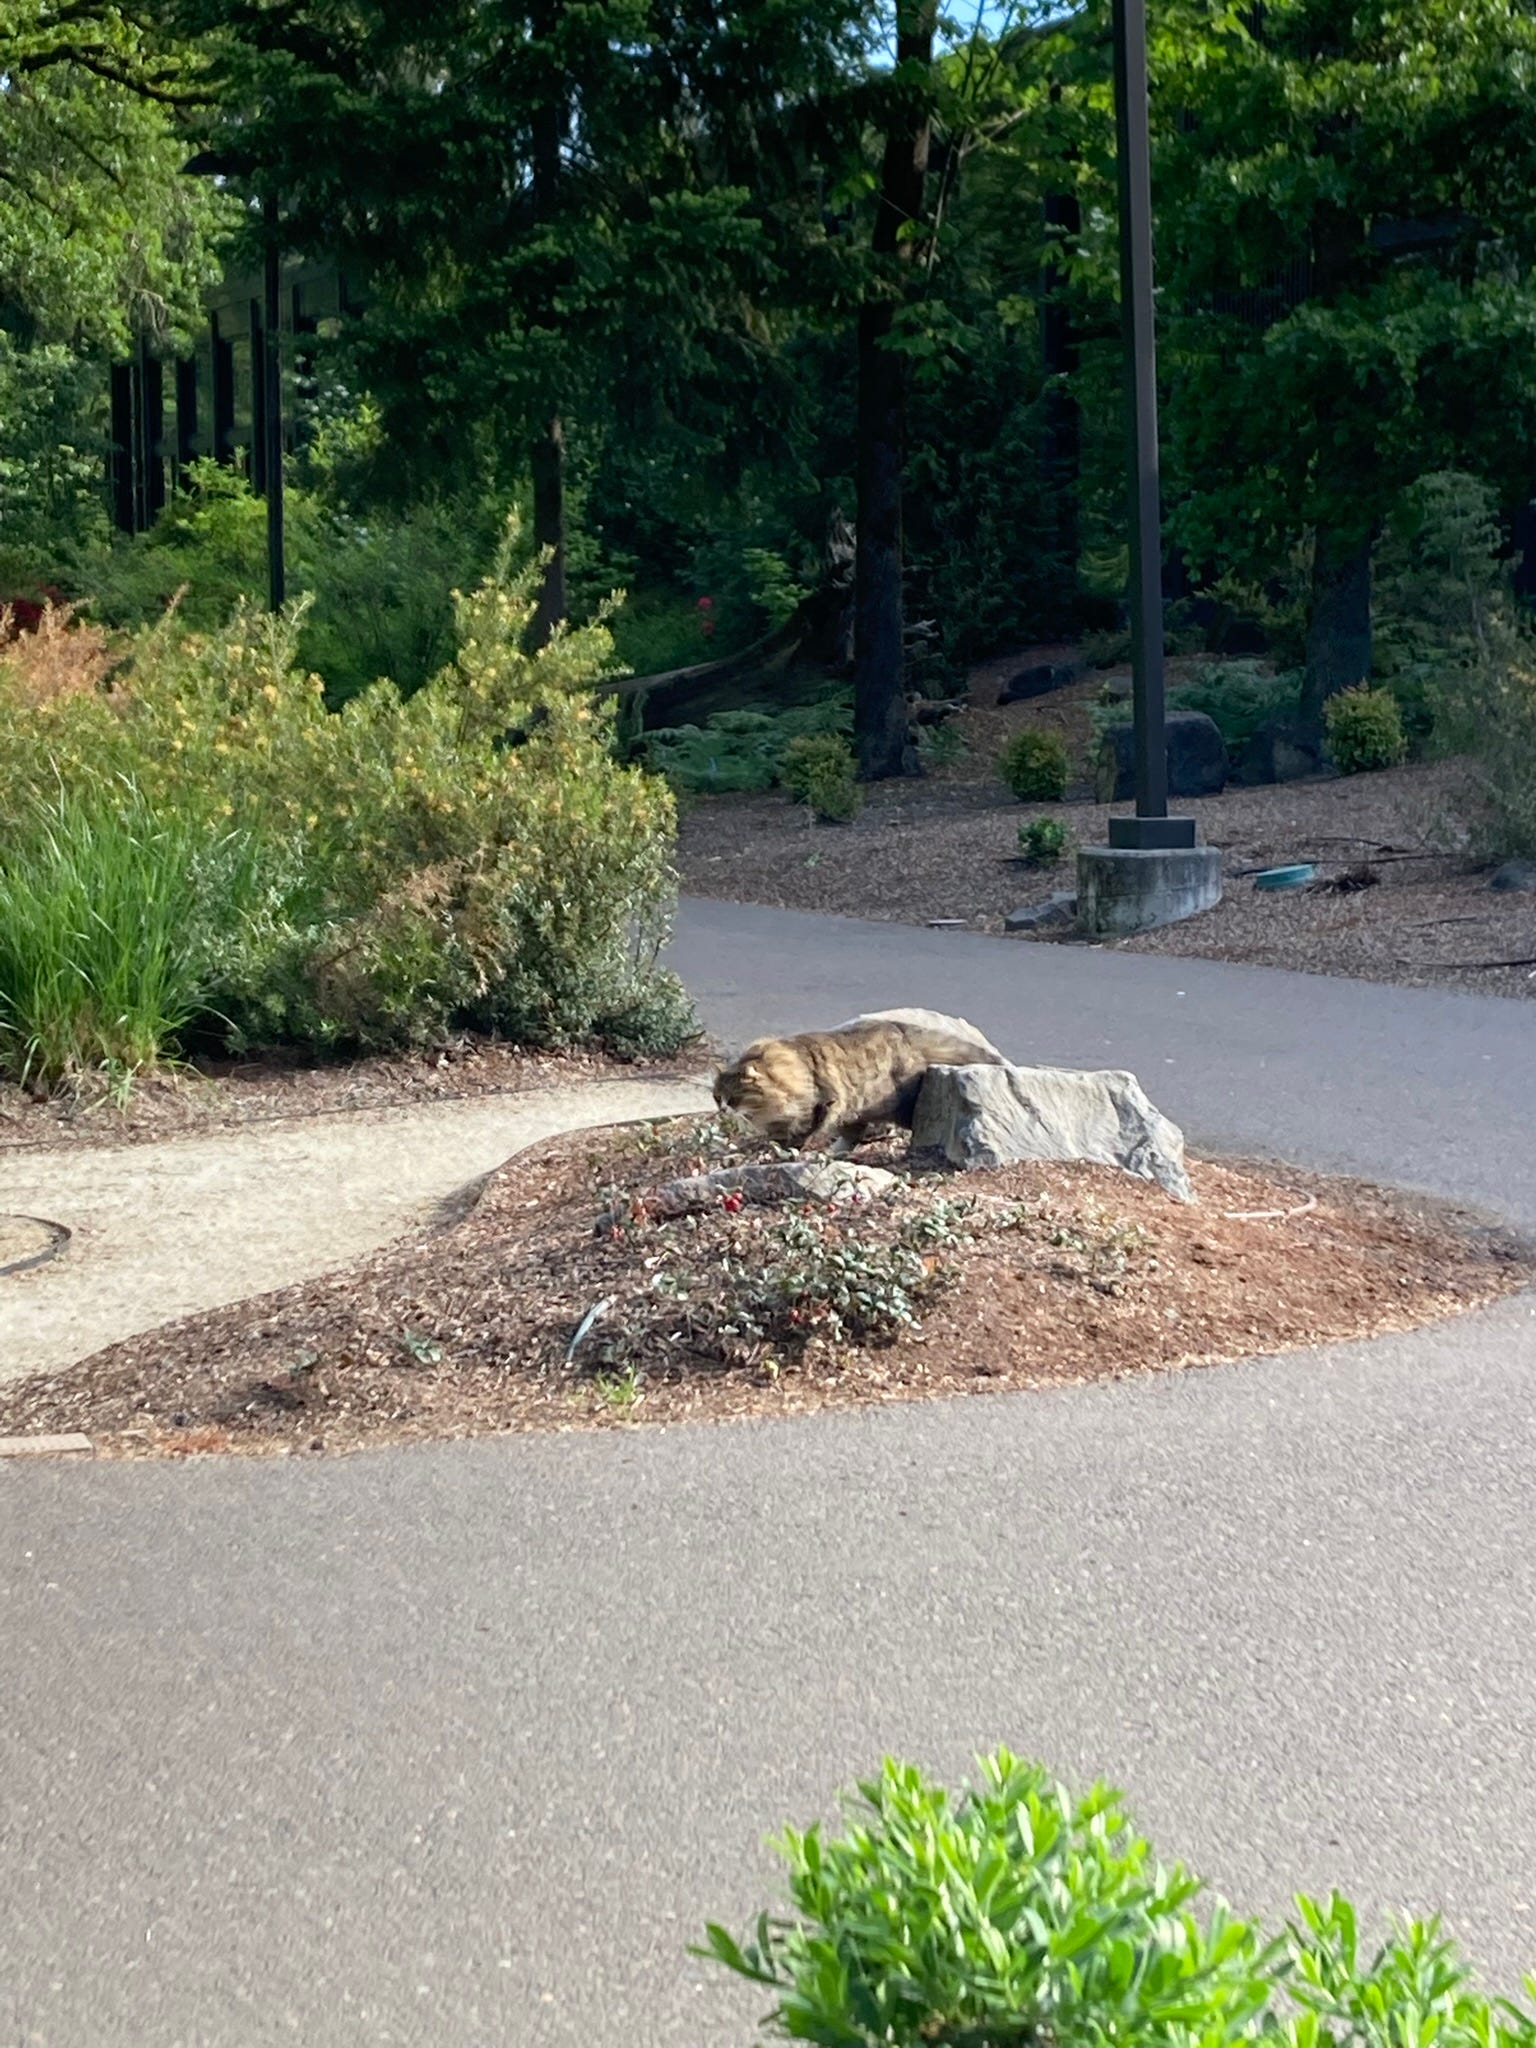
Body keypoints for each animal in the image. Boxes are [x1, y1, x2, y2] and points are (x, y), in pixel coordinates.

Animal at [713, 1008, 1004, 1155]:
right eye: (717, 1097)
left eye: (733, 1097)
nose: (722, 1109)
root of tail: (904, 1033)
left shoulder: (821, 1104)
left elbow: (799, 1133)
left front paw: (783, 1151)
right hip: (856, 1110)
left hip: (896, 1105)